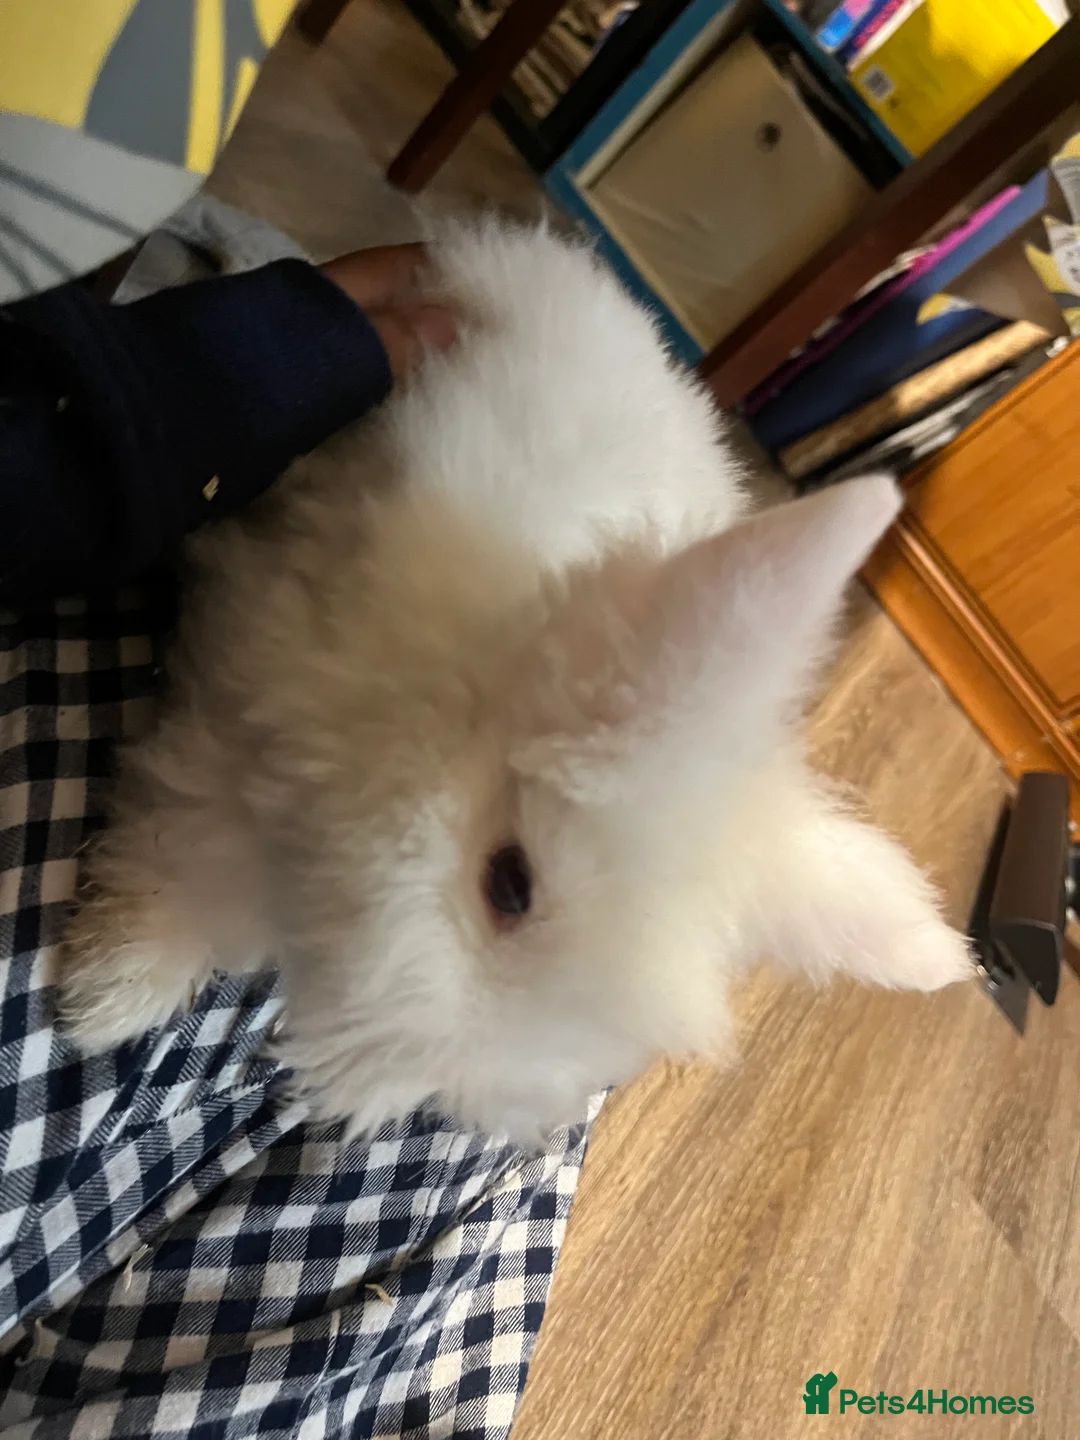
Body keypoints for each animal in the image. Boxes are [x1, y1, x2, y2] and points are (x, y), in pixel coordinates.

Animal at [60, 221, 972, 1143]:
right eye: (507, 884)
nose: (445, 1091)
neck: (446, 700)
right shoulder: (246, 685)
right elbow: (184, 853)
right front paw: (105, 997)